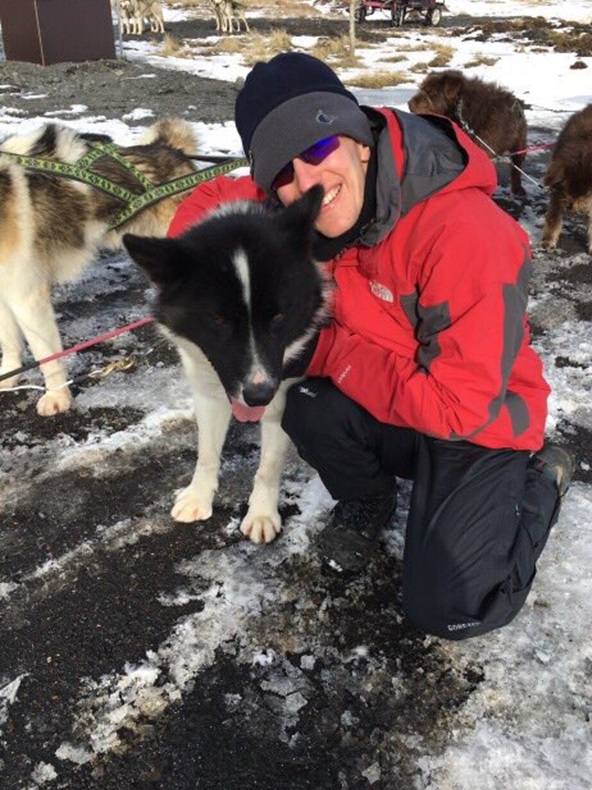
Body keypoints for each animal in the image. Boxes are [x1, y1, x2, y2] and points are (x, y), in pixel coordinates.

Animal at [123, 186, 330, 544]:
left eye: (278, 315)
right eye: (218, 319)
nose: (259, 396)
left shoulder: (281, 392)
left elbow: (268, 466)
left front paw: (261, 512)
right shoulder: (210, 389)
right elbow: (207, 453)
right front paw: (199, 495)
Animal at [540, 102, 592, 251]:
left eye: (585, 196)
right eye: (567, 192)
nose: (571, 208)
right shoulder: (558, 188)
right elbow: (553, 217)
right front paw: (549, 240)